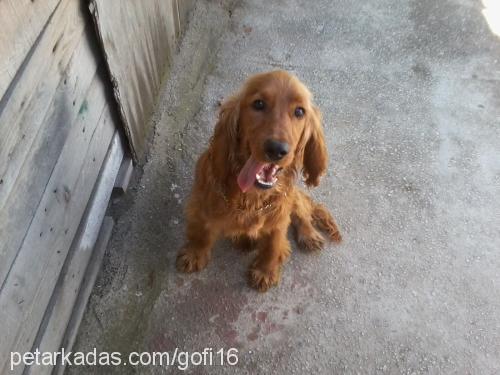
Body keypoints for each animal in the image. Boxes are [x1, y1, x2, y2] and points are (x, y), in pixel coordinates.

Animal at [176, 71, 340, 294]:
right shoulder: (201, 204)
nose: (276, 149)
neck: (251, 197)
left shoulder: (279, 218)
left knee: (303, 212)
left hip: (294, 198)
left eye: (299, 111)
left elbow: (273, 245)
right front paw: (195, 254)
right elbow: (201, 231)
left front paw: (265, 271)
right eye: (259, 104)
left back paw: (309, 235)